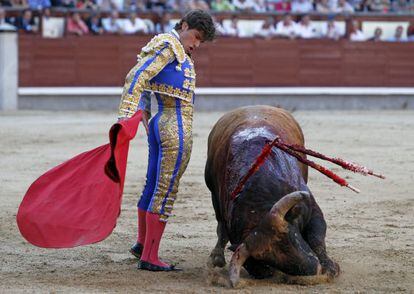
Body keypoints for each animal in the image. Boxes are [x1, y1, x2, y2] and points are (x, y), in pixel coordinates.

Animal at [205, 106, 342, 288]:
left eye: (291, 235)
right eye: (269, 258)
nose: (314, 269)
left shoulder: (312, 209)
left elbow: (316, 237)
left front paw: (331, 268)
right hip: (213, 192)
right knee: (220, 226)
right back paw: (217, 257)